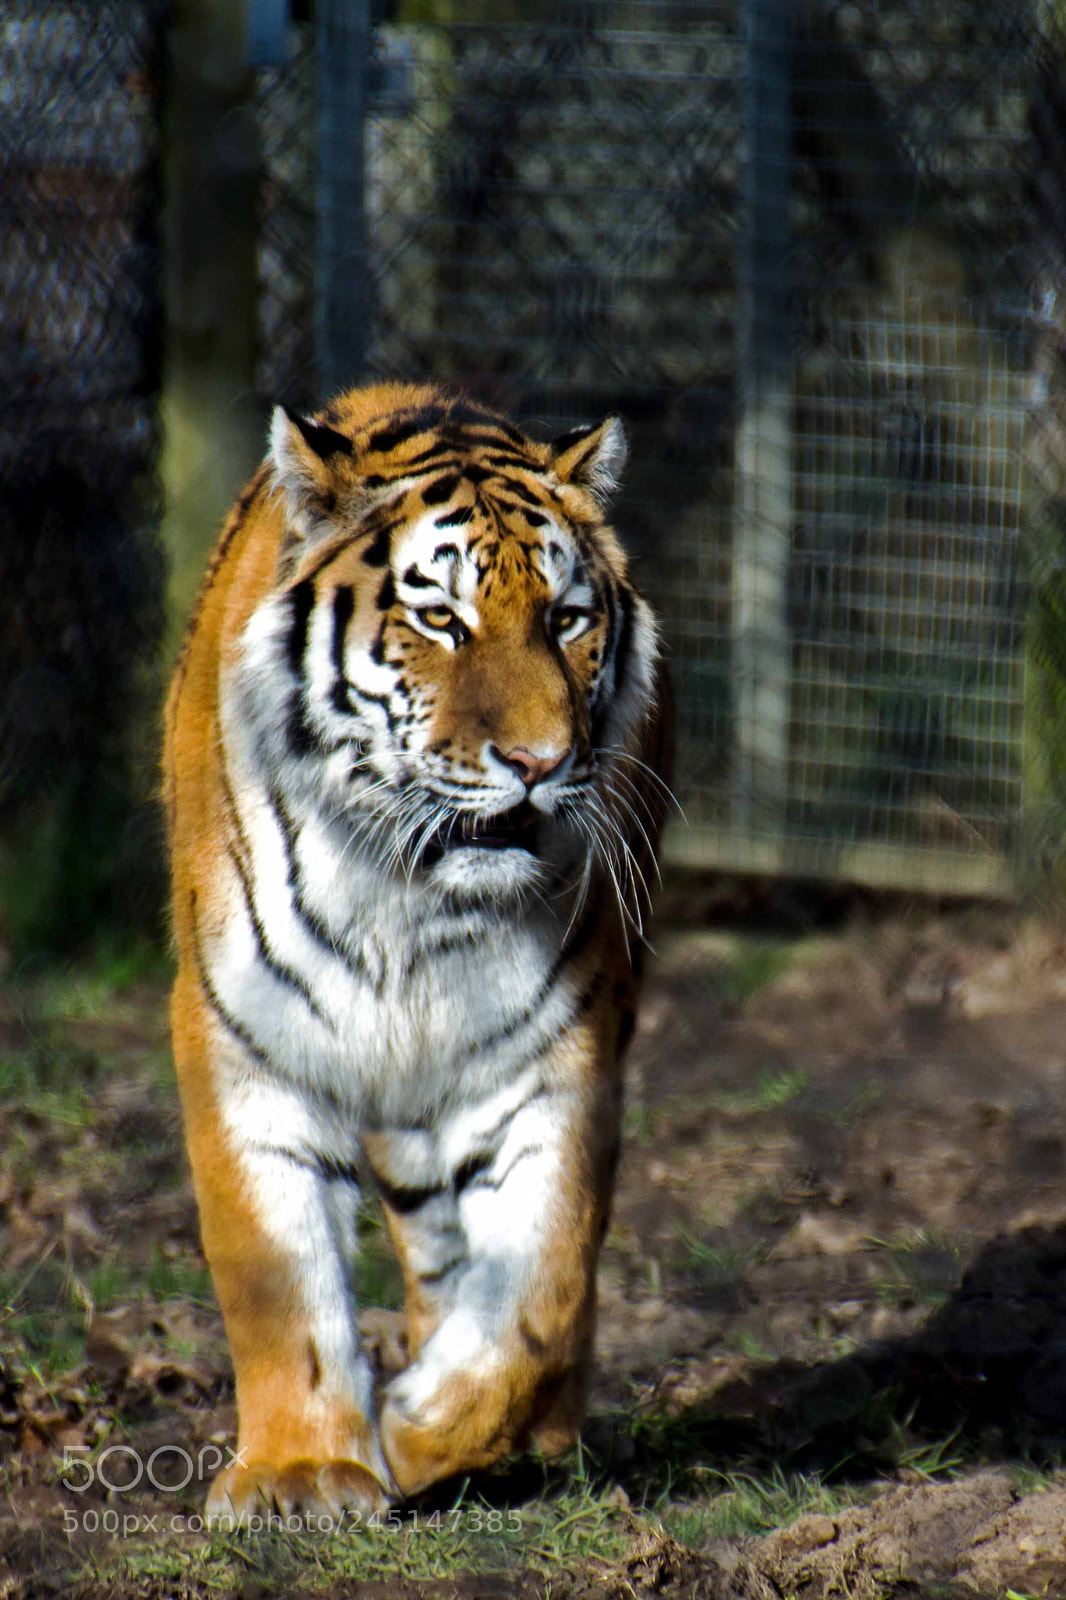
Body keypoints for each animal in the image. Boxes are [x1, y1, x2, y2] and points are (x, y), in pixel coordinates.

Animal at [164, 382, 672, 1521]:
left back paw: (535, 1442)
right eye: (440, 617)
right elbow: (275, 1272)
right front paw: (301, 1473)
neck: (413, 901)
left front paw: (426, 1430)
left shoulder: (556, 1056)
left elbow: (541, 1286)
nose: (540, 762)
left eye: (566, 619)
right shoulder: (242, 1042)